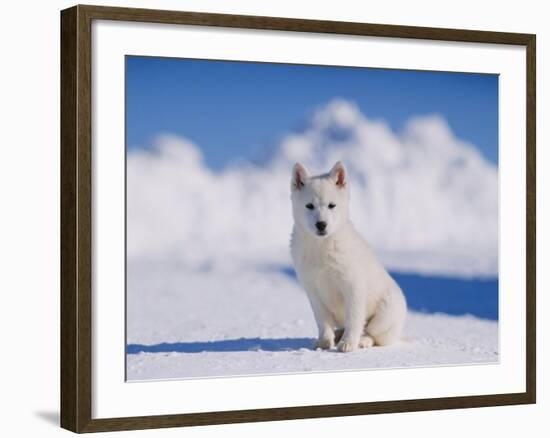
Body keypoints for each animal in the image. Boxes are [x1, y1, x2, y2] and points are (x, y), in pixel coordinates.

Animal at [292, 162, 408, 352]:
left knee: (372, 333)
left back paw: (362, 341)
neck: (322, 246)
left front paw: (348, 343)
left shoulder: (353, 286)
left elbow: (354, 319)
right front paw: (325, 341)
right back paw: (338, 334)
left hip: (384, 315)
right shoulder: (313, 291)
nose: (321, 225)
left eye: (332, 205)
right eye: (309, 206)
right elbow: (322, 321)